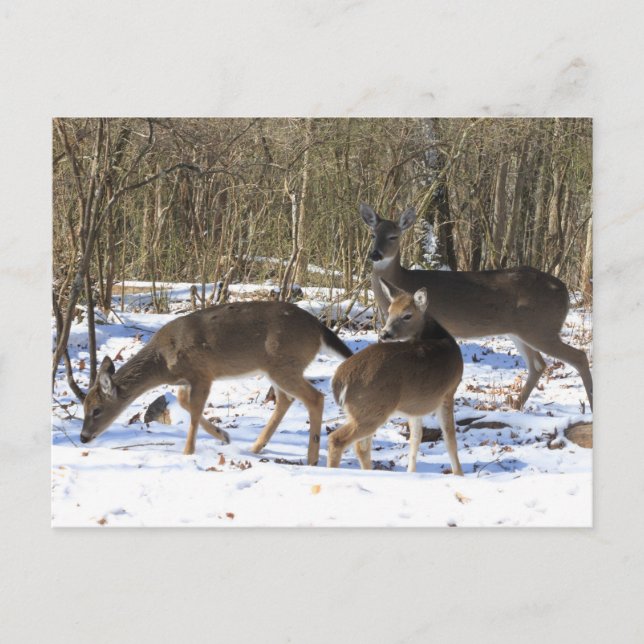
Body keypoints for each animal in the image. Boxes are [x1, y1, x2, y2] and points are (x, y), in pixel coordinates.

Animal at [80, 301, 353, 465]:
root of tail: (319, 328)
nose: (83, 437)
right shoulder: (187, 379)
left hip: (284, 363)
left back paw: (312, 457)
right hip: (276, 368)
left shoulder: (202, 373)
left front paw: (188, 452)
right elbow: (184, 403)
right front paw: (224, 436)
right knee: (286, 399)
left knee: (314, 397)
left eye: (96, 410)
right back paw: (256, 447)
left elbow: (194, 410)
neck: (163, 361)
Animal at [328, 279, 464, 474]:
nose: (384, 333)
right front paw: (459, 474)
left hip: (359, 410)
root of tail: (339, 380)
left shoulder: (415, 405)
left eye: (407, 315)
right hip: (372, 409)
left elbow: (416, 438)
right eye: (390, 311)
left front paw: (411, 472)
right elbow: (450, 438)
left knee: (361, 447)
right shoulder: (448, 392)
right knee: (338, 440)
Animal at [359, 203, 593, 411]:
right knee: (538, 364)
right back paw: (515, 405)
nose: (375, 254)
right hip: (521, 331)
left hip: (542, 328)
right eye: (372, 235)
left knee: (578, 357)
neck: (403, 279)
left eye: (393, 236)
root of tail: (565, 291)